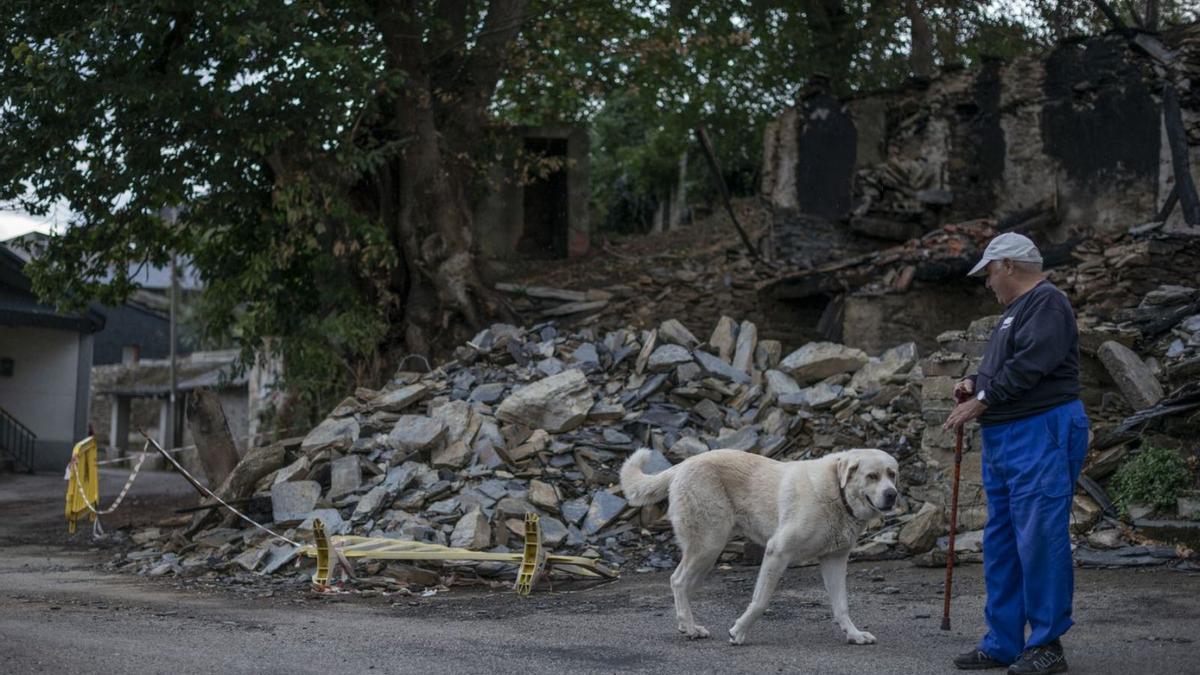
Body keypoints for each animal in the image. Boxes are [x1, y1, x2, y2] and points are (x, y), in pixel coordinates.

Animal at [624, 446, 897, 638]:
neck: (837, 494)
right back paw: (690, 628)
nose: (892, 494)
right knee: (678, 581)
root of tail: (683, 464)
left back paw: (686, 624)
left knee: (681, 583)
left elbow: (841, 606)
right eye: (872, 476)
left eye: (892, 474)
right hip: (708, 544)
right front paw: (739, 632)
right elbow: (760, 600)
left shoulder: (835, 560)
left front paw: (855, 635)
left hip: (706, 551)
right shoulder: (778, 551)